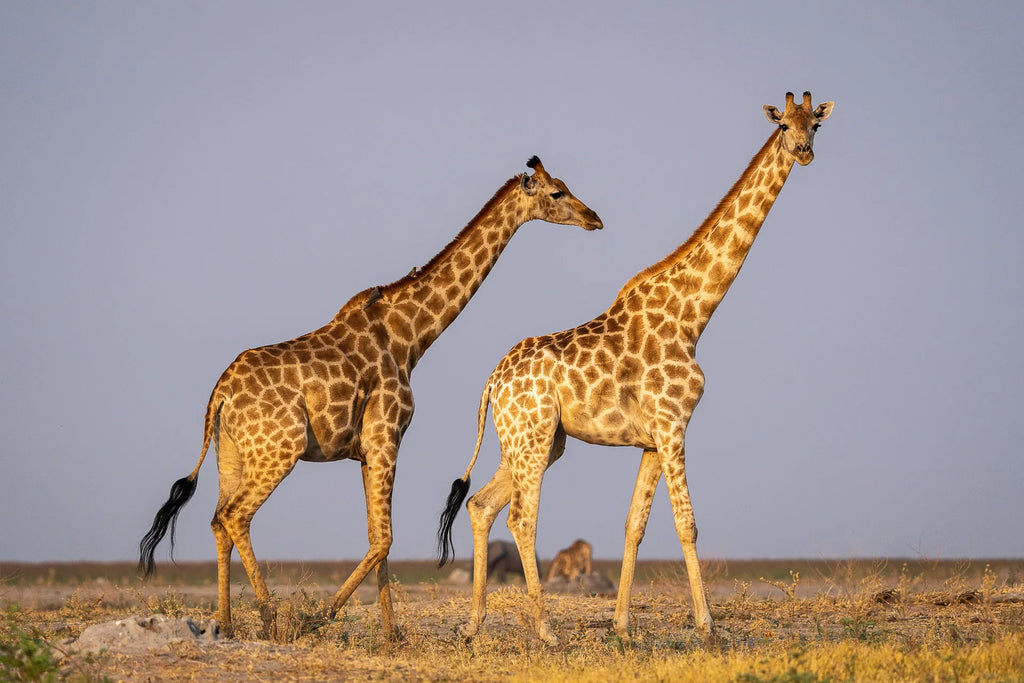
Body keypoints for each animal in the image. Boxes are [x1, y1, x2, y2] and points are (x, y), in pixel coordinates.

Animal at [139, 156, 603, 637]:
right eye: (557, 193)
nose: (594, 218)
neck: (409, 337)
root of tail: (220, 393)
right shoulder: (386, 436)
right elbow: (385, 538)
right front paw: (320, 617)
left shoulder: (367, 449)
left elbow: (376, 538)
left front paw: (391, 634)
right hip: (279, 450)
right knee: (236, 515)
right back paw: (270, 618)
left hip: (230, 451)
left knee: (217, 519)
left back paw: (226, 624)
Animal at [438, 92, 834, 644]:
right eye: (783, 126)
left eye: (815, 124)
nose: (804, 152)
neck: (693, 316)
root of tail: (492, 382)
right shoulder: (673, 426)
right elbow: (687, 523)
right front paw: (708, 627)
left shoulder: (650, 440)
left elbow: (635, 524)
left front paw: (622, 625)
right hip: (533, 438)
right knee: (521, 517)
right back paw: (545, 630)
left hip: (532, 440)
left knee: (481, 504)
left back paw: (474, 625)